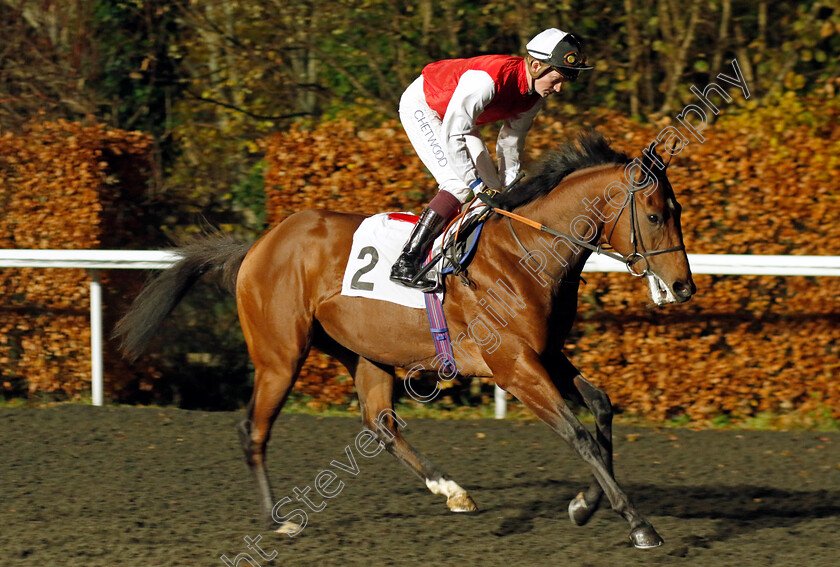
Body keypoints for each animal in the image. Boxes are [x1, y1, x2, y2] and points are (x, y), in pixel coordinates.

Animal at [116, 131, 696, 548]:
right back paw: (279, 519)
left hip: (364, 352)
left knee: (381, 422)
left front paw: (584, 504)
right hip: (281, 355)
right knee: (252, 429)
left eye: (677, 212)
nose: (683, 287)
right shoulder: (514, 365)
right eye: (653, 215)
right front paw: (637, 524)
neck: (523, 253)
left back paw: (453, 491)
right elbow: (578, 434)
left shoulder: (544, 353)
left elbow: (600, 409)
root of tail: (259, 244)